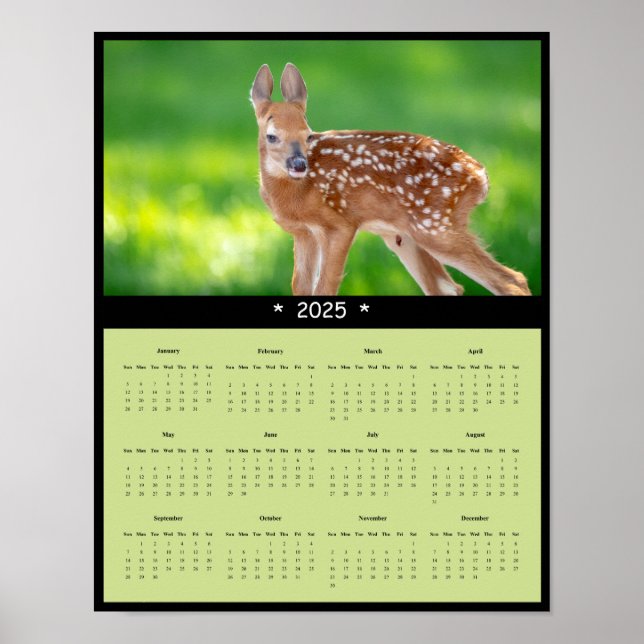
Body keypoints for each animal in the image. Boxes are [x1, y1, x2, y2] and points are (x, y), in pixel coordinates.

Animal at [250, 63, 531, 296]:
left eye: (308, 135)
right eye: (272, 136)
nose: (299, 165)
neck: (295, 194)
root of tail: (480, 176)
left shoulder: (341, 223)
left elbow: (326, 287)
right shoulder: (303, 233)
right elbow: (301, 287)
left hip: (436, 226)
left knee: (512, 281)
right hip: (408, 237)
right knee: (448, 287)